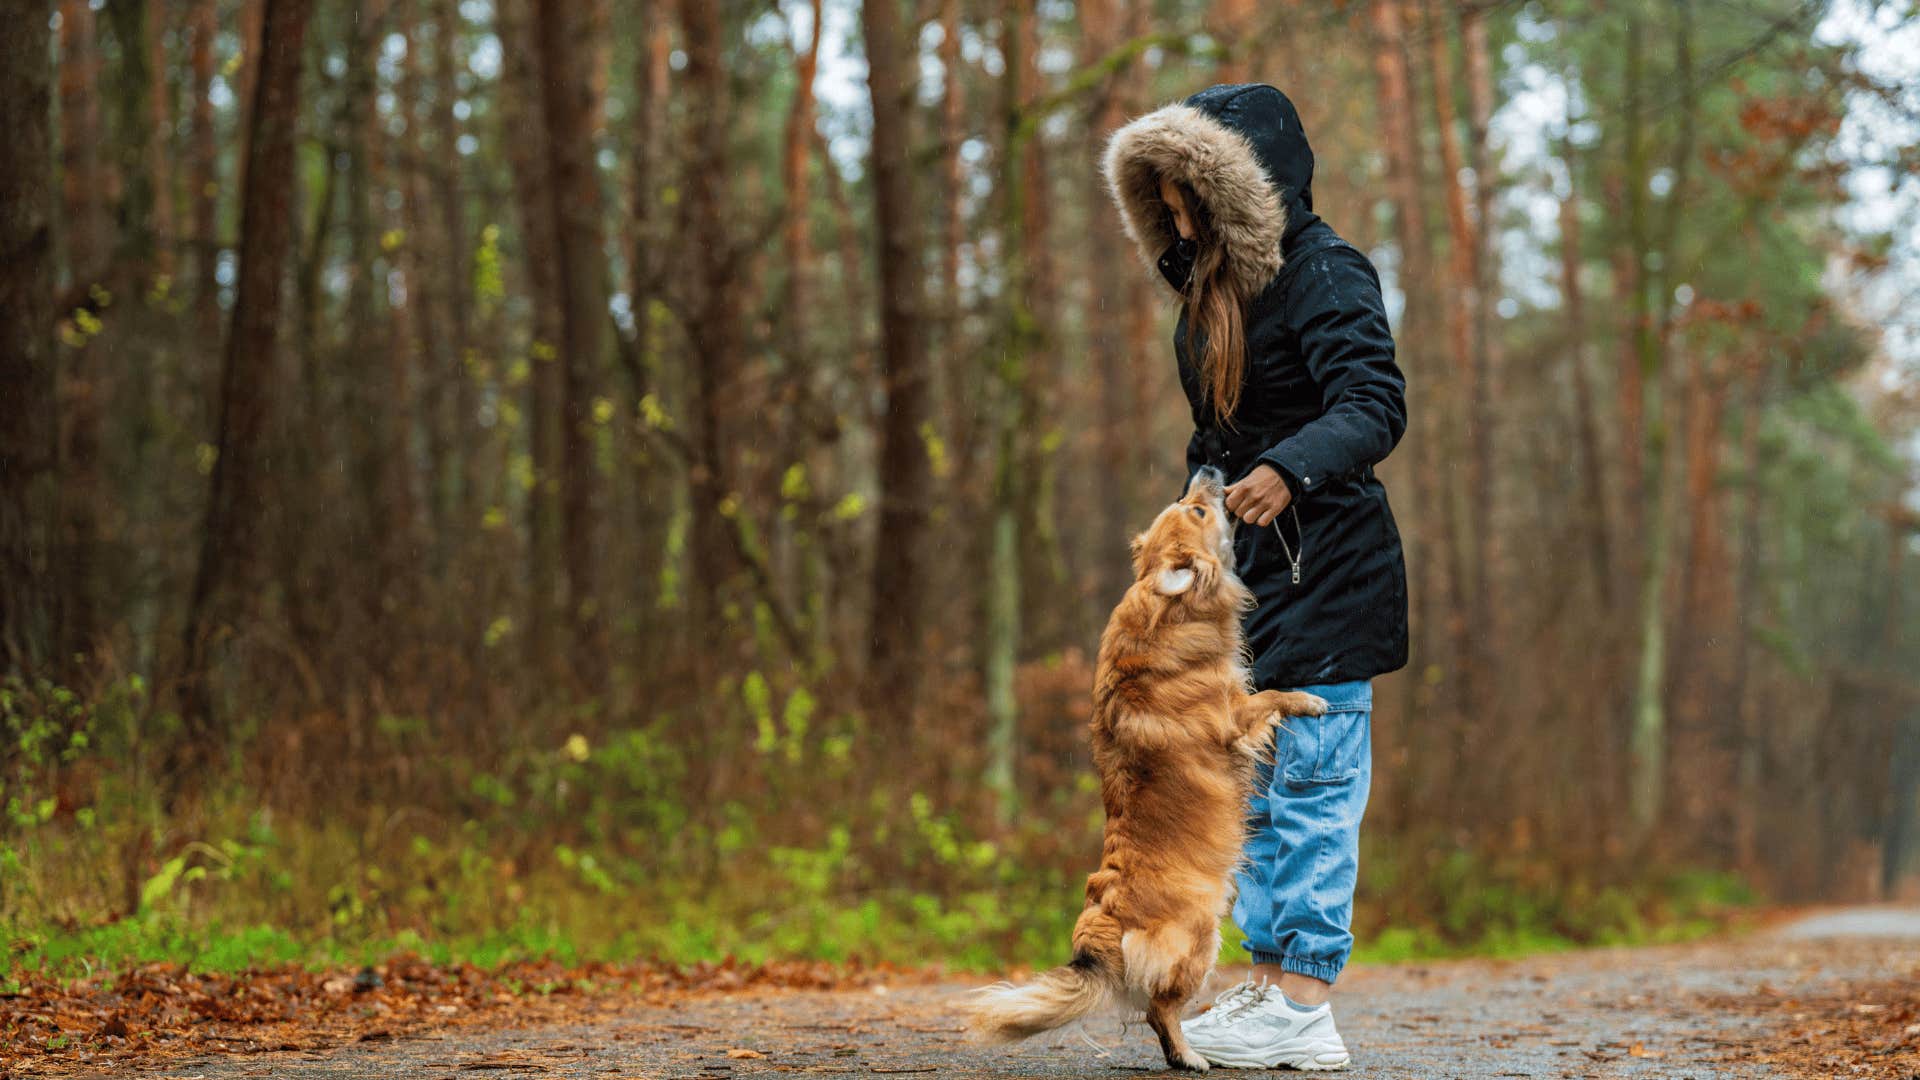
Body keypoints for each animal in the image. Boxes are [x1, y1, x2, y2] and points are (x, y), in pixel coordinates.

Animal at [967, 466, 1328, 1060]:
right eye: (1198, 510)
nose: (1210, 471)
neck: (1169, 611)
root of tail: (1103, 926)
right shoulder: (1234, 714)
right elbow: (1274, 695)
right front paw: (1309, 700)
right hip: (1203, 937)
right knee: (1162, 1010)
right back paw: (1191, 1056)